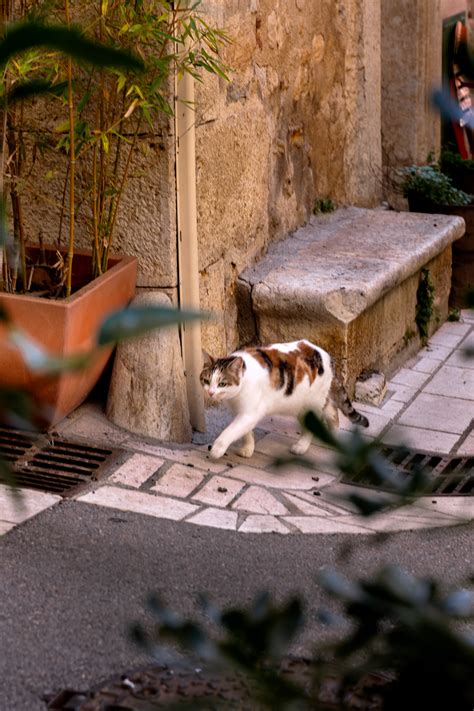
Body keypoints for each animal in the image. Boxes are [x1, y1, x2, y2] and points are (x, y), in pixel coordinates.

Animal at [200, 340, 370, 462]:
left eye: (222, 384)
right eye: (206, 380)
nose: (210, 392)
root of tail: (327, 357)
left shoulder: (250, 412)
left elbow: (231, 430)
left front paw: (217, 449)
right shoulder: (240, 412)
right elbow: (245, 431)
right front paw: (248, 448)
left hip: (310, 404)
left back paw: (301, 446)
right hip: (320, 399)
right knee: (333, 413)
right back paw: (332, 437)